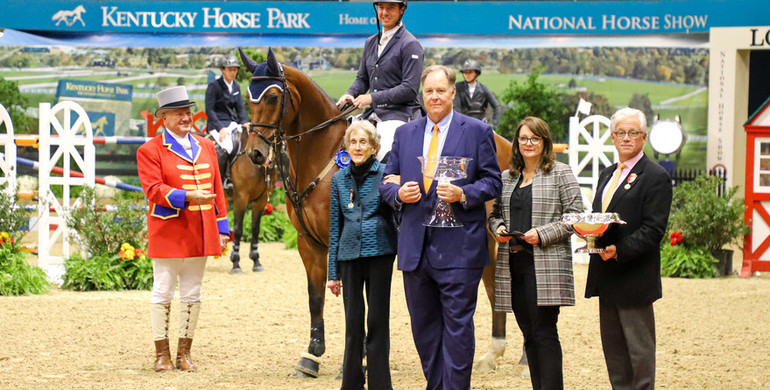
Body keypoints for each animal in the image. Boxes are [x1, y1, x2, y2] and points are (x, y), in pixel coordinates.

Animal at [240, 48, 516, 378]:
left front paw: (353, 363)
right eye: (248, 96)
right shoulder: (309, 243)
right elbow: (315, 297)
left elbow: (355, 303)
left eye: (272, 97)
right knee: (492, 285)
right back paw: (492, 354)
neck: (325, 155)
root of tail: (503, 143)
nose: (255, 153)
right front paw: (311, 357)